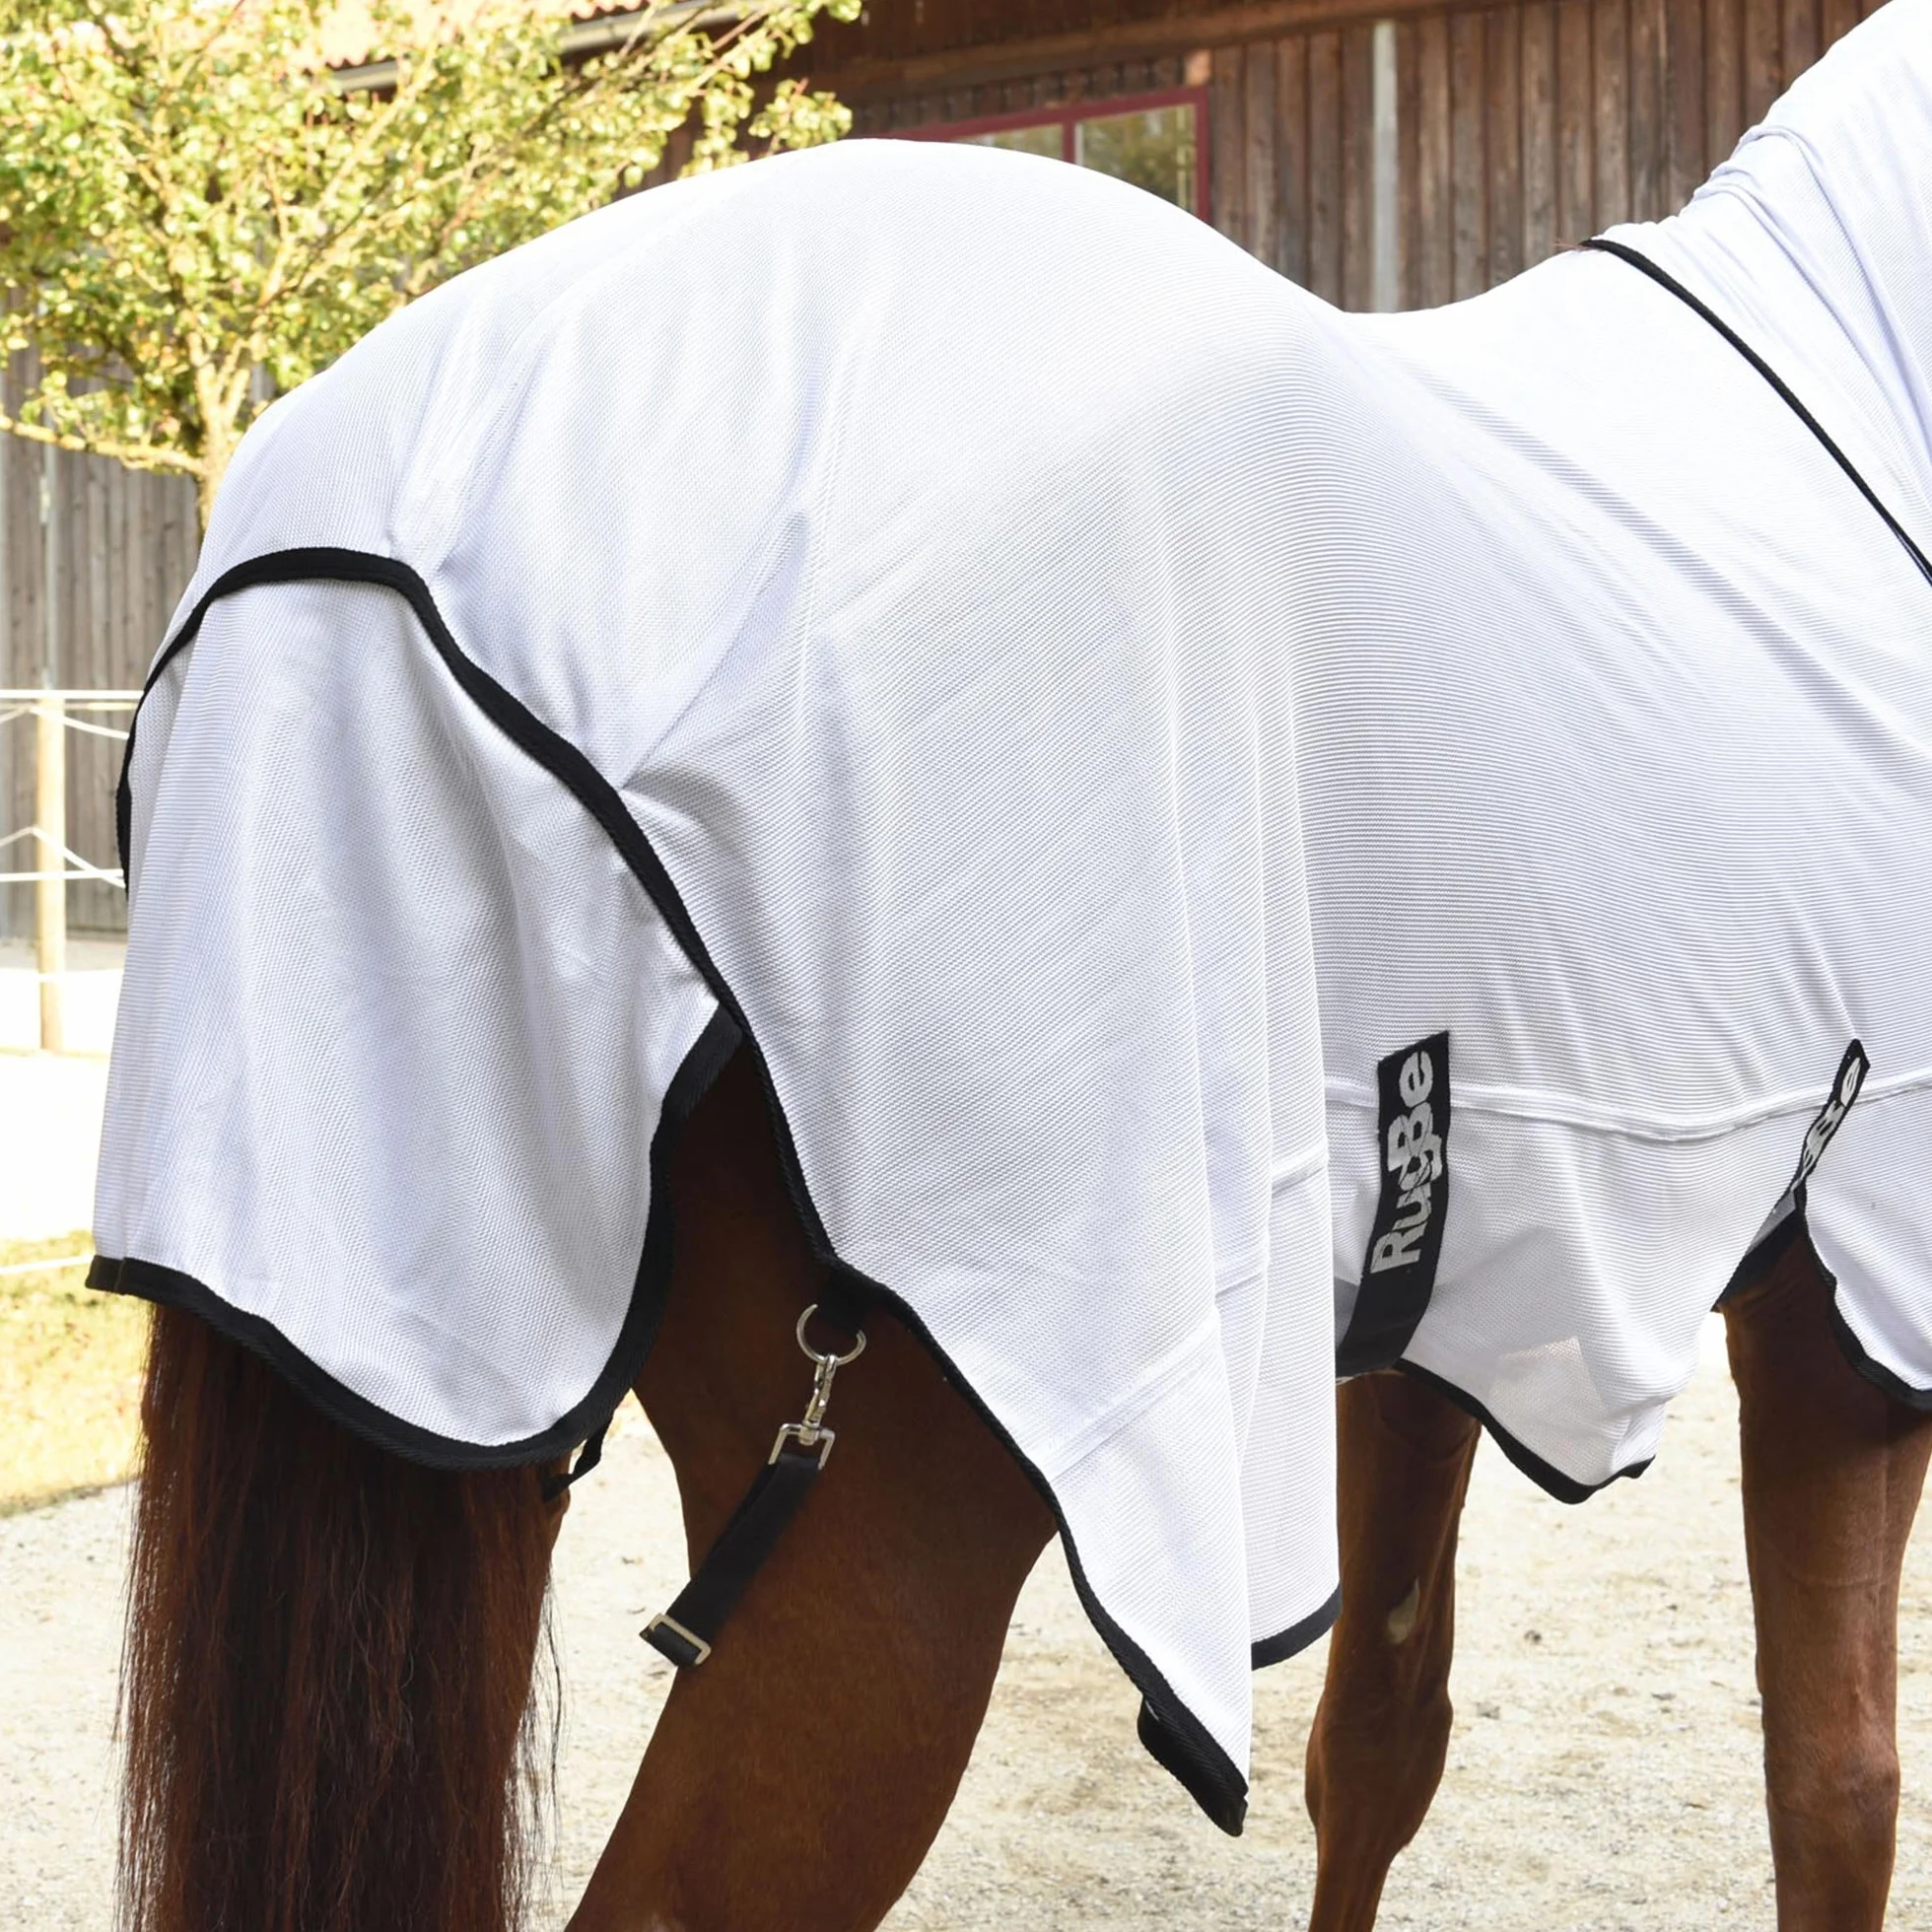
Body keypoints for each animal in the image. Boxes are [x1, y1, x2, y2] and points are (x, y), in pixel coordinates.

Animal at [102, 3, 1932, 1929]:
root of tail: (382, 557)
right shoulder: (1848, 1314)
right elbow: (1838, 1789)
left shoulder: (1448, 1286)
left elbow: (1381, 1738)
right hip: (882, 1546)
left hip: (468, 1380)